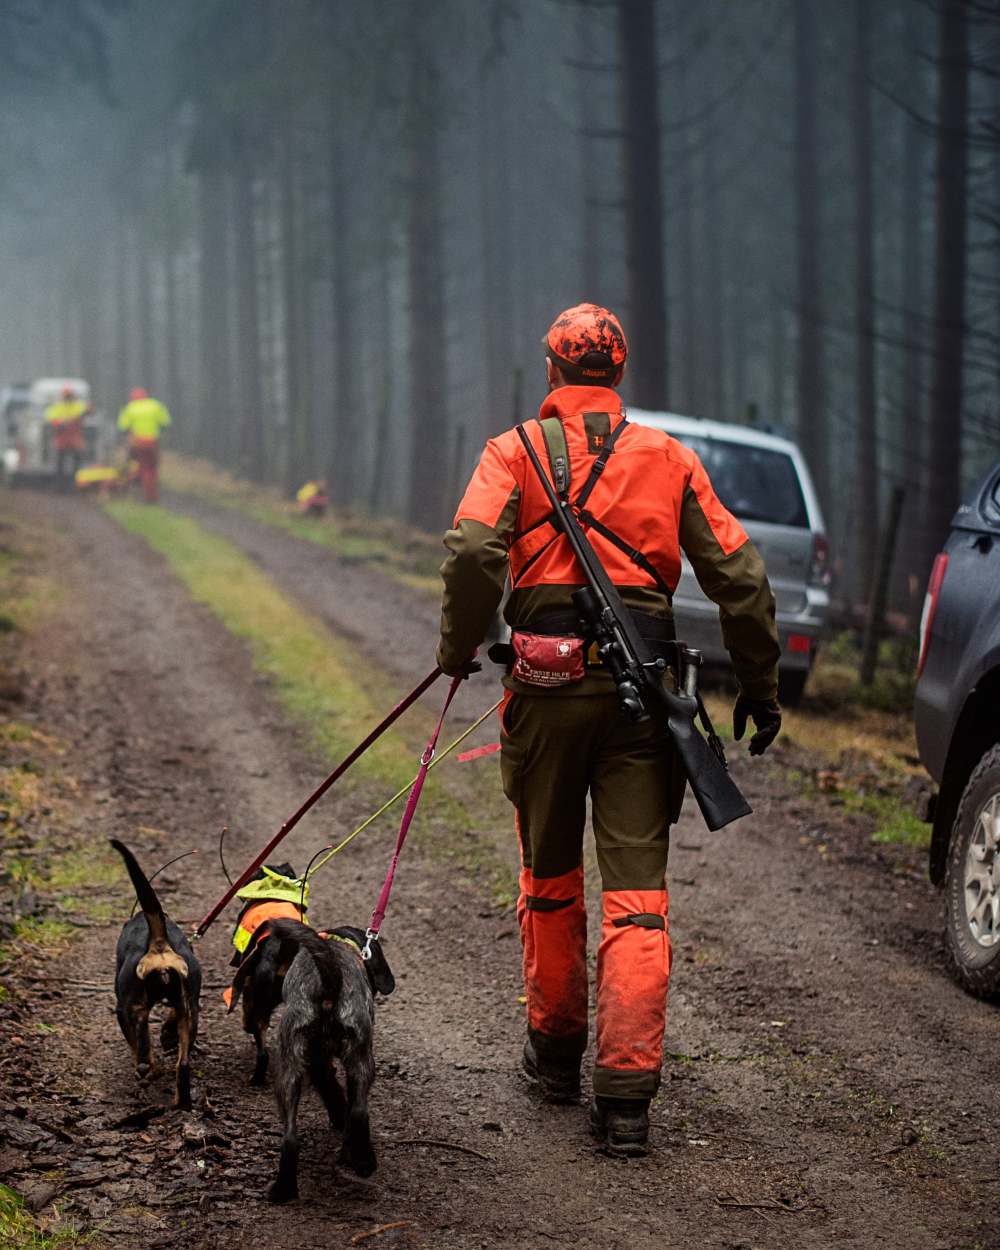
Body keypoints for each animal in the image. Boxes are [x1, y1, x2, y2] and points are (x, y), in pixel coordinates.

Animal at [111, 845, 201, 1110]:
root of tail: (159, 944)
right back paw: (181, 1103)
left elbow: (135, 1043)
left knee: (142, 1049)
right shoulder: (186, 1002)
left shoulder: (122, 1010)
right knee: (183, 1064)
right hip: (189, 1008)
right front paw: (167, 1035)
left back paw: (150, 1070)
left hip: (134, 1005)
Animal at [230, 920, 395, 1200]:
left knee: (290, 1137)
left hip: (289, 1068)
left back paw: (283, 1189)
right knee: (359, 1112)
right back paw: (363, 1161)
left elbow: (331, 1091)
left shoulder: (317, 1062)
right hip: (360, 1059)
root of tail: (329, 980)